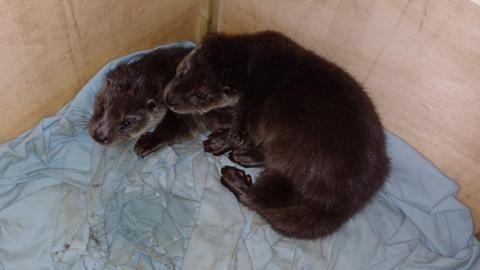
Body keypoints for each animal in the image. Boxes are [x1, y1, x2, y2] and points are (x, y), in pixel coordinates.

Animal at [90, 46, 234, 156]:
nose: (100, 136)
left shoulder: (184, 114)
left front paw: (148, 142)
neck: (165, 75)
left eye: (126, 123)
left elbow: (173, 130)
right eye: (102, 107)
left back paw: (217, 143)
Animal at [164, 31, 390, 238]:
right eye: (182, 72)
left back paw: (235, 177)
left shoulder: (251, 108)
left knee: (263, 199)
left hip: (296, 157)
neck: (254, 66)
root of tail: (346, 201)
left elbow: (240, 134)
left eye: (199, 95)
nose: (168, 100)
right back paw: (243, 158)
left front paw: (221, 141)